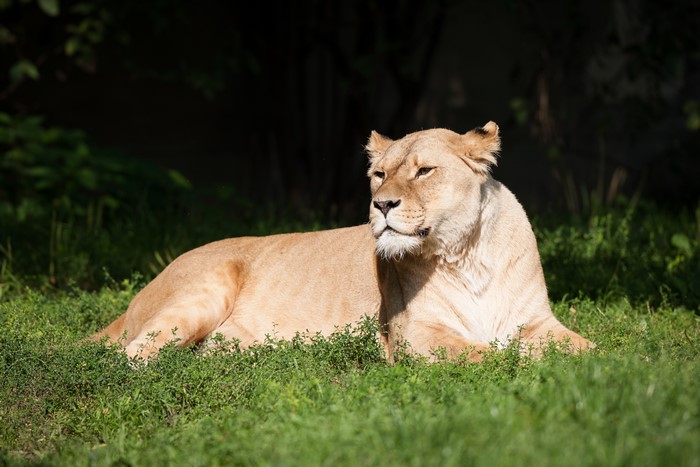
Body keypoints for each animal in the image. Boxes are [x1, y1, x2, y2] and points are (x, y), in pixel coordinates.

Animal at [91, 121, 594, 361]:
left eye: (424, 171)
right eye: (379, 174)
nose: (381, 204)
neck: (465, 256)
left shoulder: (536, 324)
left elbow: (589, 350)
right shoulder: (415, 334)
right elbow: (486, 357)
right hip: (202, 290)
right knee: (130, 357)